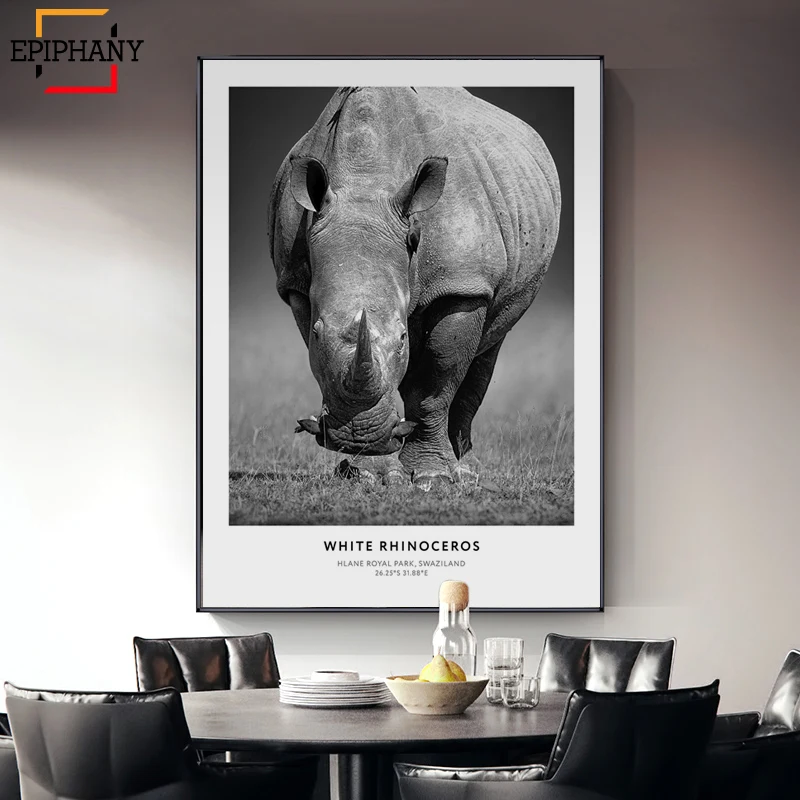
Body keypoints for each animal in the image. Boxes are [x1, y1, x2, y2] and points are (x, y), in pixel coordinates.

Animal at [268, 87, 561, 489]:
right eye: (316, 333)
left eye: (402, 337)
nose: (357, 436)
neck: (365, 184)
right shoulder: (296, 282)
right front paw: (370, 472)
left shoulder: (461, 284)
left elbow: (435, 380)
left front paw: (430, 476)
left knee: (488, 344)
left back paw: (462, 471)